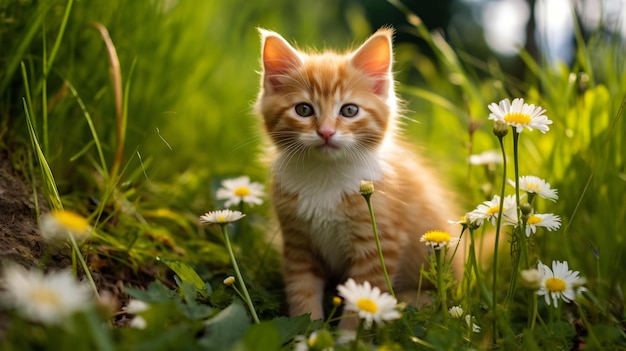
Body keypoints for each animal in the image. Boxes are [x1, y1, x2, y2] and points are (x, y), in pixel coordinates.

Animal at [251, 28, 460, 328]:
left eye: (349, 110)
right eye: (303, 110)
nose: (326, 132)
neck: (326, 176)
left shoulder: (378, 243)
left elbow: (362, 301)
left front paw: (347, 335)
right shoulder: (297, 244)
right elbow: (302, 291)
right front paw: (310, 330)